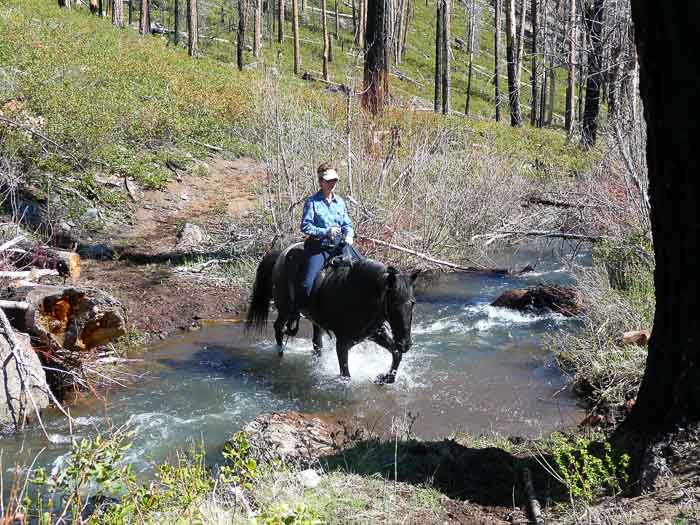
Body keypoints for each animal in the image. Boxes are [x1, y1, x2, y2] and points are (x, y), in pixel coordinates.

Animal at [247, 241, 422, 380]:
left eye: (413, 303)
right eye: (393, 303)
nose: (405, 344)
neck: (359, 295)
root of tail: (281, 254)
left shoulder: (374, 333)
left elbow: (396, 354)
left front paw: (384, 378)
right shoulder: (342, 344)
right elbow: (346, 375)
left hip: (314, 319)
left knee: (317, 343)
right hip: (285, 309)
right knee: (279, 328)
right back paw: (281, 356)